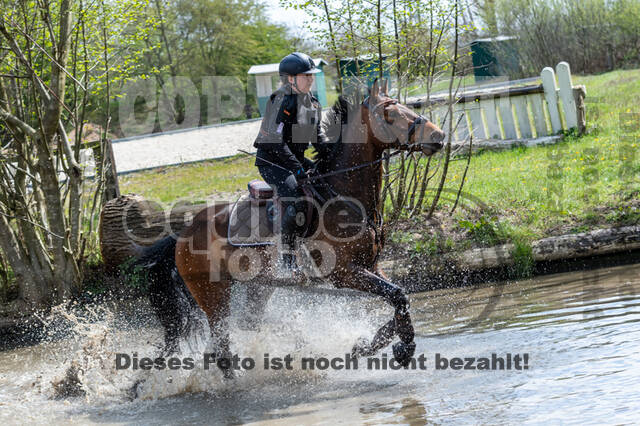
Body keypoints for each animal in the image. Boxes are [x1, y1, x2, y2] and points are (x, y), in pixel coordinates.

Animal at [135, 78, 444, 374]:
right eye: (390, 114)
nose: (438, 136)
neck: (340, 195)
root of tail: (182, 234)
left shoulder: (372, 266)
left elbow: (400, 301)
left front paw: (370, 344)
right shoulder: (345, 273)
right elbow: (398, 296)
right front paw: (403, 348)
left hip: (258, 286)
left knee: (244, 327)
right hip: (213, 295)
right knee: (221, 347)